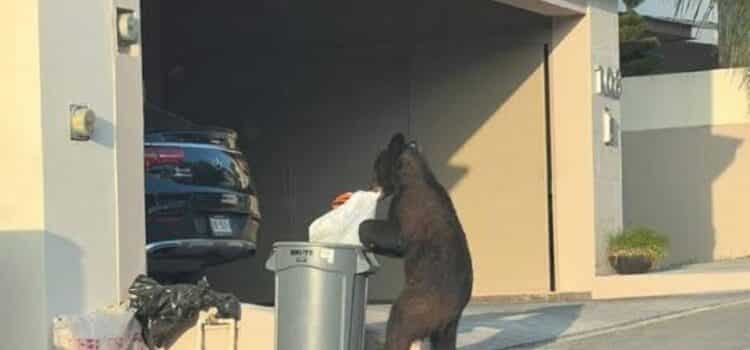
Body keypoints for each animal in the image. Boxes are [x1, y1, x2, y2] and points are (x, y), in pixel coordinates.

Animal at [360, 133, 476, 350]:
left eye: (376, 166)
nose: (369, 185)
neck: (410, 175)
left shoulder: (410, 205)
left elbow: (396, 237)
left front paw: (363, 231)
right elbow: (398, 249)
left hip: (420, 302)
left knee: (399, 324)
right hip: (448, 326)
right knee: (444, 342)